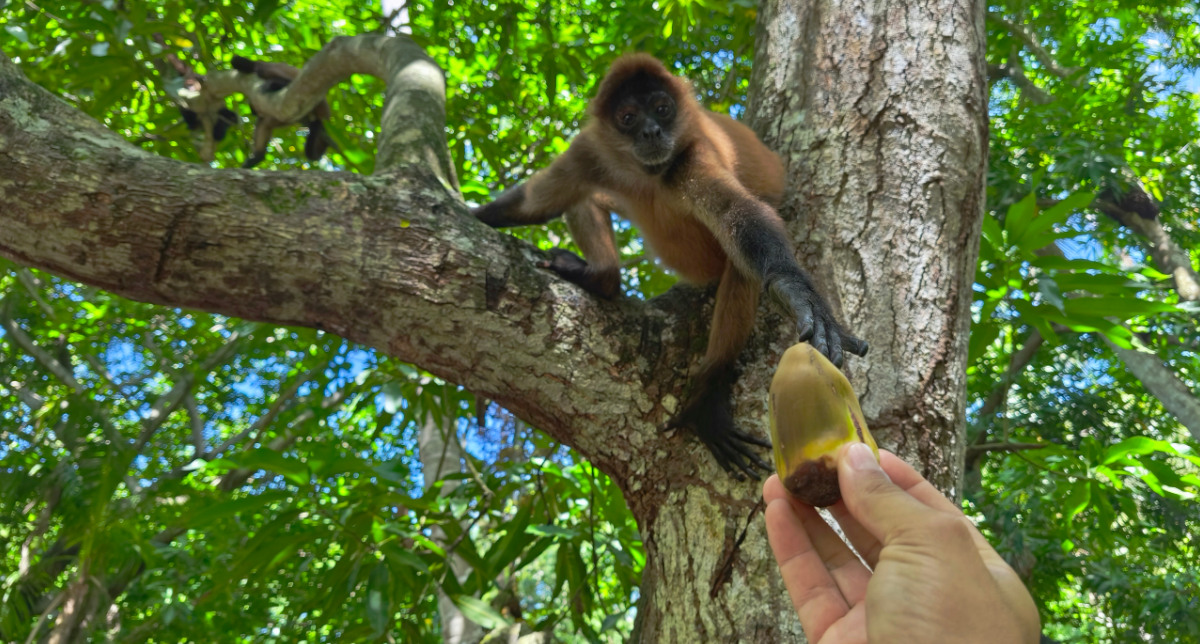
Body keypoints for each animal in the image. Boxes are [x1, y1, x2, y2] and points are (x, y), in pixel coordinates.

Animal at [472, 54, 868, 477]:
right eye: (628, 117)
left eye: (662, 109)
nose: (650, 131)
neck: (649, 175)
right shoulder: (591, 150)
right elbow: (535, 203)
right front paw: (472, 213)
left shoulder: (692, 154)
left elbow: (739, 214)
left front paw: (796, 292)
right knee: (584, 196)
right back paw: (602, 279)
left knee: (738, 263)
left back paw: (709, 392)